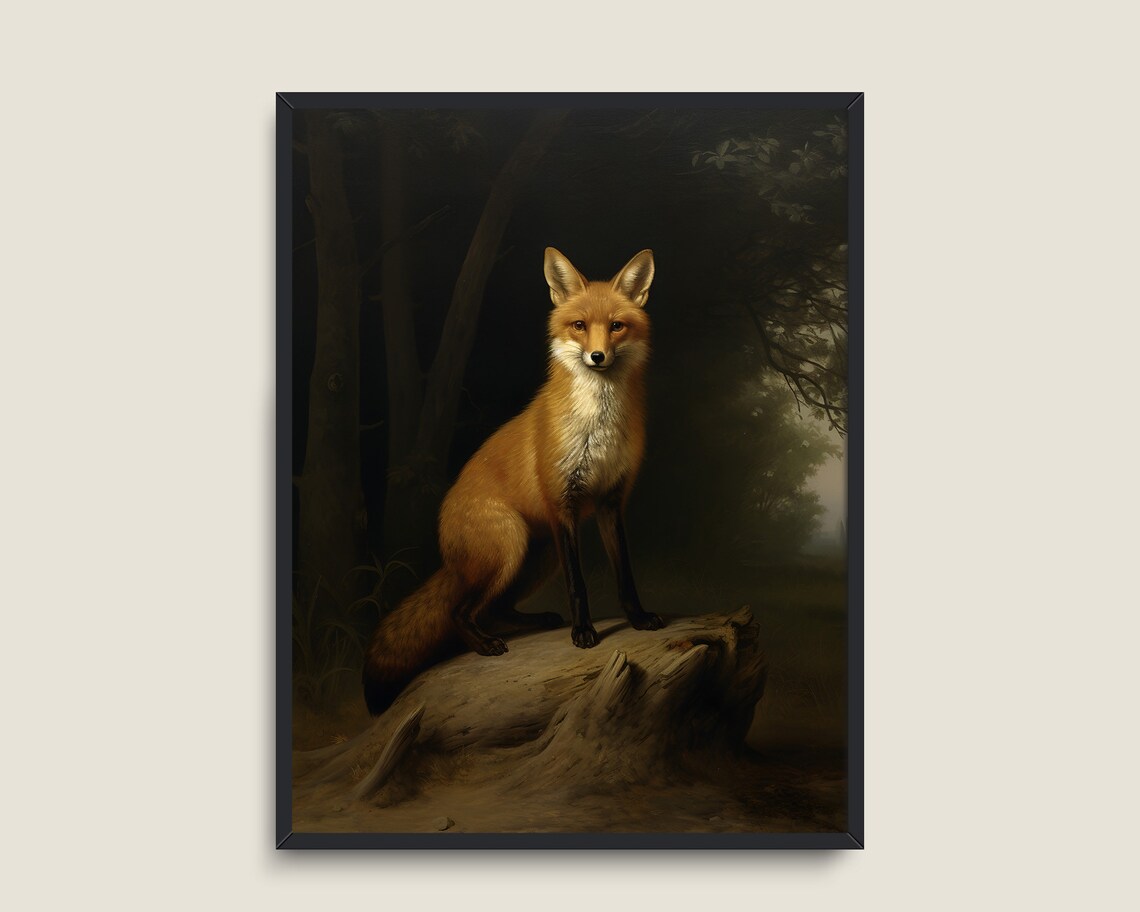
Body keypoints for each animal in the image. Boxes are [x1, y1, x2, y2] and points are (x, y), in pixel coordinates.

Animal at [362, 247, 664, 715]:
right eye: (579, 326)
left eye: (617, 326)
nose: (597, 356)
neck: (597, 428)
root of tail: (448, 548)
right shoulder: (562, 504)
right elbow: (578, 585)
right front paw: (583, 633)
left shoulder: (611, 503)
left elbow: (625, 575)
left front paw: (637, 618)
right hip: (512, 546)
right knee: (460, 611)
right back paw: (484, 644)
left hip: (538, 555)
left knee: (495, 607)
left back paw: (536, 620)